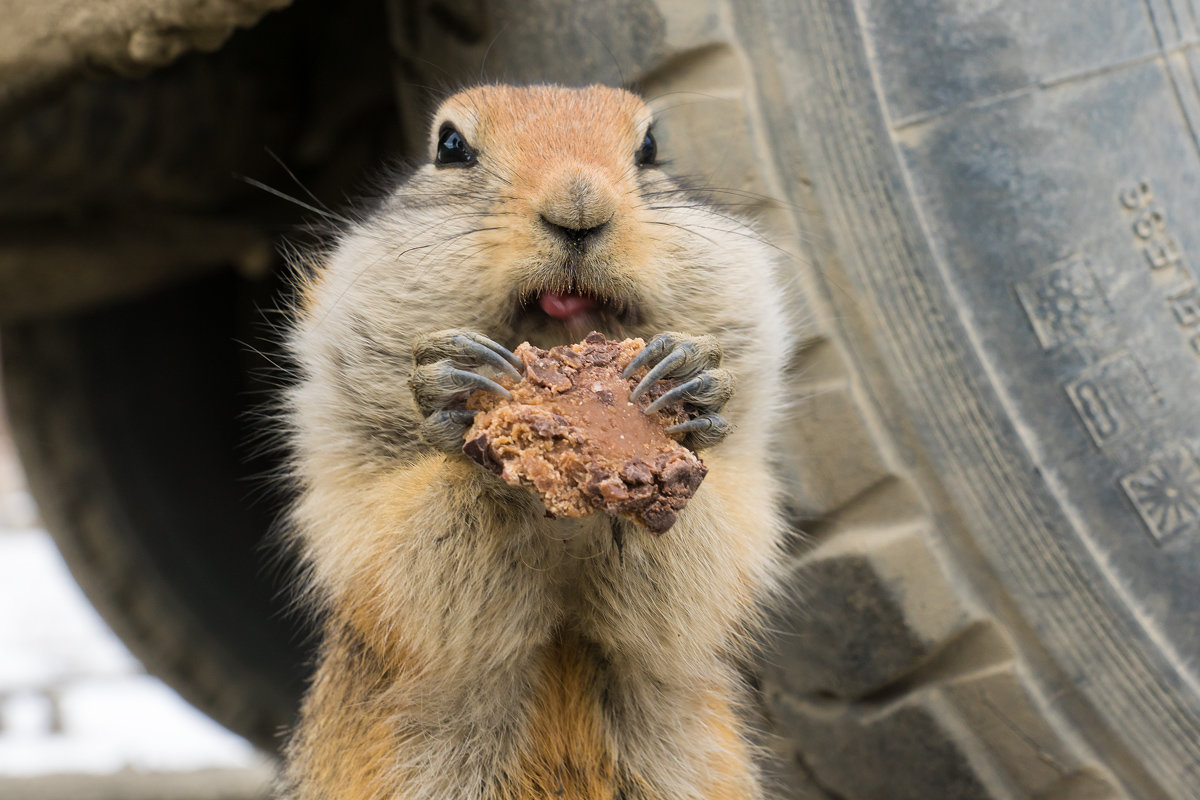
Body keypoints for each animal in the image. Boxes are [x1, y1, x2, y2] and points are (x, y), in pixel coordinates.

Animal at [279, 84, 796, 796]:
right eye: (449, 145)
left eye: (651, 147)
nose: (579, 208)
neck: (565, 525)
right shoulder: (345, 477)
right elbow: (403, 570)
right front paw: (457, 391)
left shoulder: (749, 489)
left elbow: (702, 582)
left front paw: (689, 375)